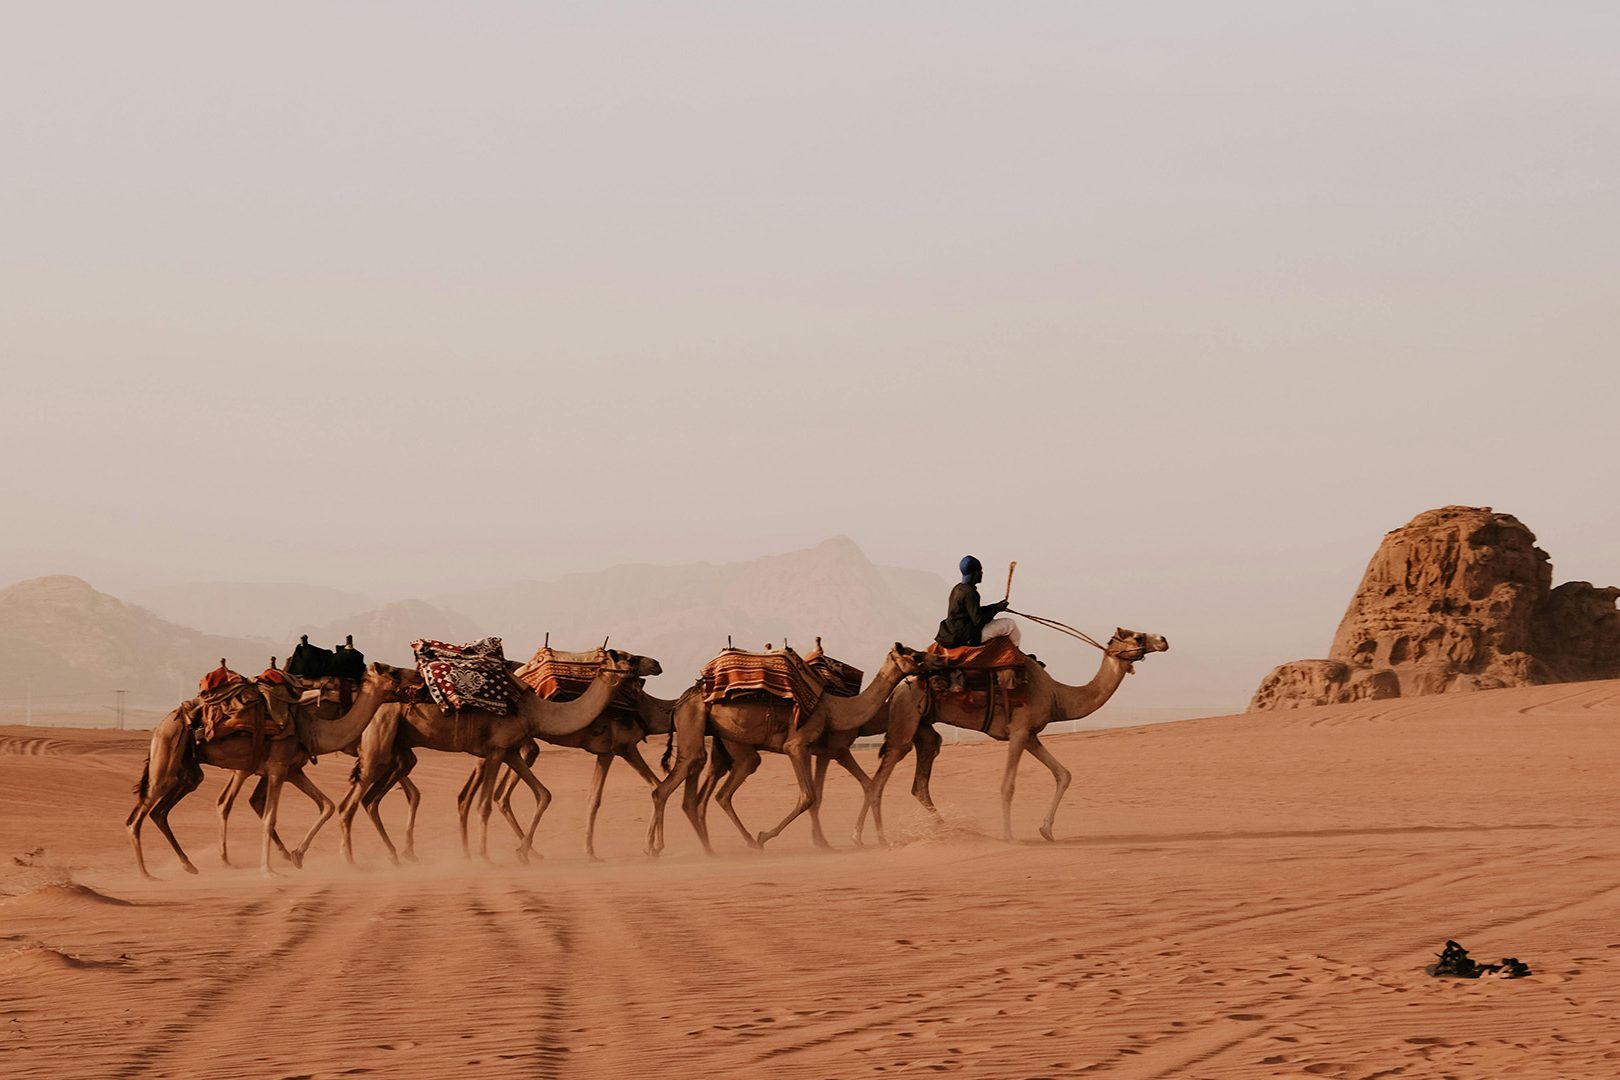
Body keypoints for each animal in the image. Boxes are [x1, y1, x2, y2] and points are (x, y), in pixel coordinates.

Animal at [128, 667, 414, 880]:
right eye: (393, 672)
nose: (417, 680)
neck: (314, 729)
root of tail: (163, 723)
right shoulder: (277, 768)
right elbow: (269, 818)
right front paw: (268, 870)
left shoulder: (293, 769)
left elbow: (327, 805)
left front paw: (297, 855)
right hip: (167, 756)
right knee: (137, 816)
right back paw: (145, 874)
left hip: (188, 769)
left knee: (162, 810)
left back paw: (191, 865)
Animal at [338, 647, 660, 867]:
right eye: (631, 659)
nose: (656, 663)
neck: (534, 710)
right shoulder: (494, 751)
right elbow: (485, 805)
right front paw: (485, 857)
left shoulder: (510, 750)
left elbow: (543, 794)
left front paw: (524, 852)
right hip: (379, 743)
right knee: (349, 805)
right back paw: (351, 862)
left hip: (396, 751)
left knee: (370, 800)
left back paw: (395, 856)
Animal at [641, 641, 926, 861]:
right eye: (913, 655)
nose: (929, 662)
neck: (833, 708)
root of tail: (682, 700)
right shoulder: (799, 746)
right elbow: (809, 797)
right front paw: (767, 836)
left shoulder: (815, 749)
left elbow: (826, 794)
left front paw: (827, 843)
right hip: (698, 726)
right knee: (671, 788)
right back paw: (655, 848)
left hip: (726, 742)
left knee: (703, 795)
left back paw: (711, 850)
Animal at [868, 628, 1172, 848]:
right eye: (1138, 636)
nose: (1163, 639)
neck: (1056, 696)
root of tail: (899, 689)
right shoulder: (1018, 731)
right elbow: (1007, 786)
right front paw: (1009, 837)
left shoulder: (1031, 735)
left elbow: (1064, 774)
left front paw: (1046, 830)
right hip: (905, 722)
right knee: (880, 780)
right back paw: (876, 838)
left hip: (924, 730)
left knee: (920, 782)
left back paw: (949, 831)